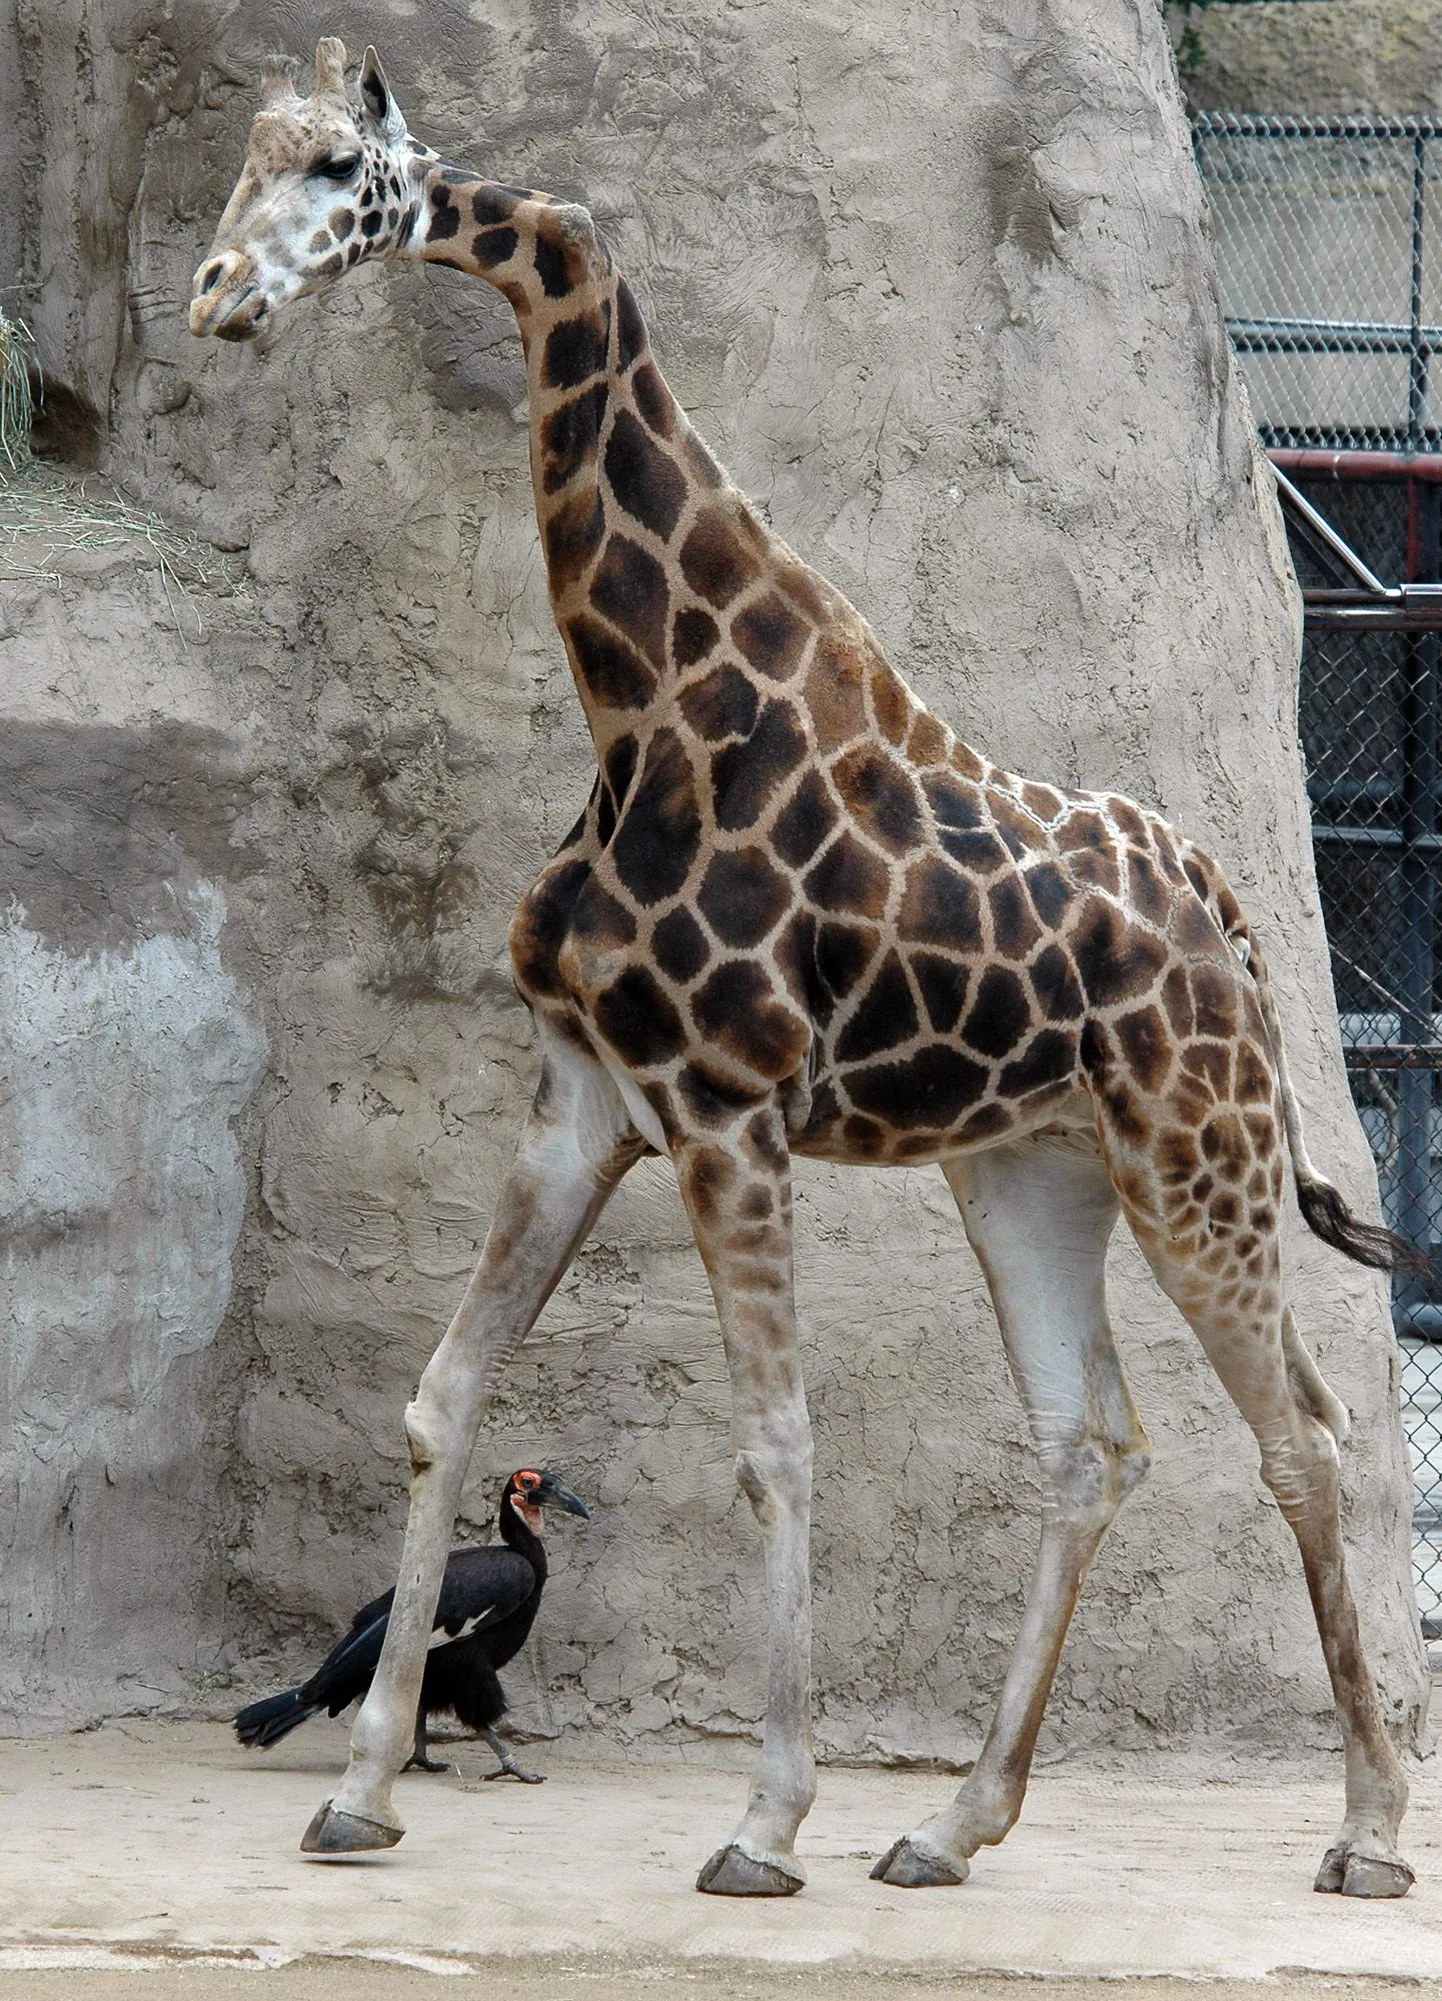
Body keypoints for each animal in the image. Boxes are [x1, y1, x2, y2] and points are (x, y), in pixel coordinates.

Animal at [194, 39, 1432, 1896]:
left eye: (340, 165)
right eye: (248, 155)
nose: (212, 296)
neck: (642, 706)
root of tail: (1230, 919)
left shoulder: (726, 1113)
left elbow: (774, 1448)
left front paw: (764, 1822)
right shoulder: (583, 1095)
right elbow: (439, 1396)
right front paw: (361, 1788)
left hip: (1193, 1162)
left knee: (1303, 1435)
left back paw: (1362, 1832)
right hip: (1031, 1172)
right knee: (1092, 1441)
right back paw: (948, 1824)